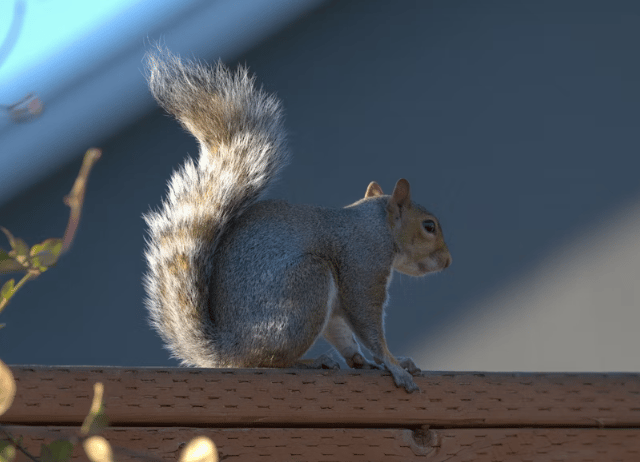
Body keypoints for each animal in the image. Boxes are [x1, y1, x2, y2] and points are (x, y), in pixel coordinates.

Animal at [142, 48, 451, 393]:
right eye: (429, 227)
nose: (448, 261)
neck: (376, 228)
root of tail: (226, 349)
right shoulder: (362, 266)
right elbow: (368, 324)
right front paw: (394, 366)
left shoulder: (341, 300)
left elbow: (343, 331)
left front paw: (373, 361)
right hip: (306, 285)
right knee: (265, 361)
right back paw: (312, 361)